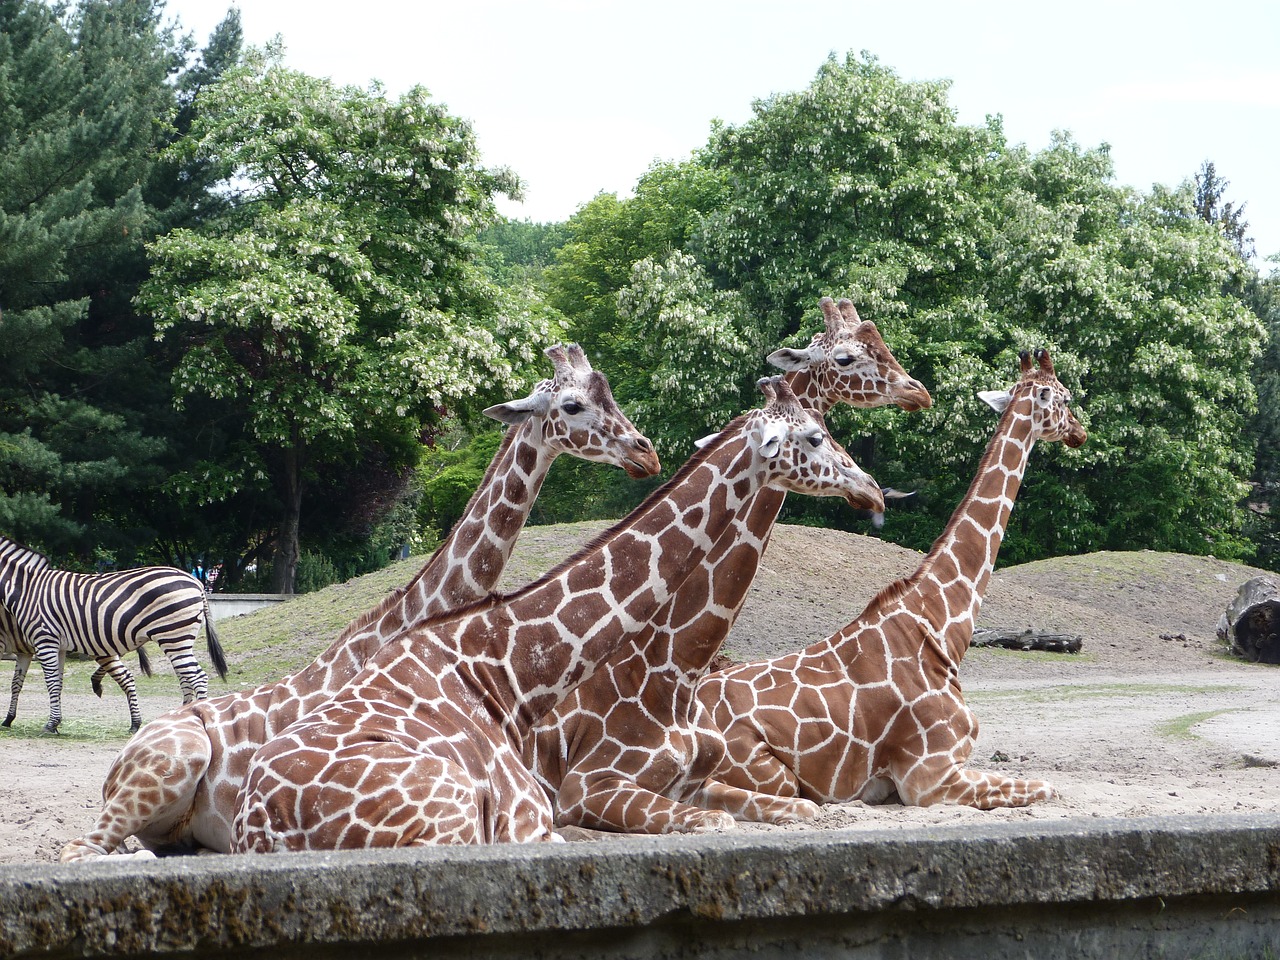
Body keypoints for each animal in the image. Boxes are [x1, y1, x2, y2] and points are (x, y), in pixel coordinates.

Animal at [0, 537, 227, 732]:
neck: (26, 589)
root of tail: (196, 582)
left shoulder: (44, 638)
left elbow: (51, 682)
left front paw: (50, 724)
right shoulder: (58, 645)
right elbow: (57, 681)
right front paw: (54, 723)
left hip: (173, 636)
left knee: (197, 677)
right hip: (175, 639)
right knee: (185, 677)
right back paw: (176, 719)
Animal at [230, 378, 885, 855]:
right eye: (816, 438)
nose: (874, 490)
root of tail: (266, 828)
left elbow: (806, 808)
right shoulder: (561, 802)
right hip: (454, 821)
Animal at [696, 350, 1085, 814]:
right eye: (1064, 398)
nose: (1080, 432)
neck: (940, 621)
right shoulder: (929, 778)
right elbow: (1048, 787)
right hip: (768, 772)